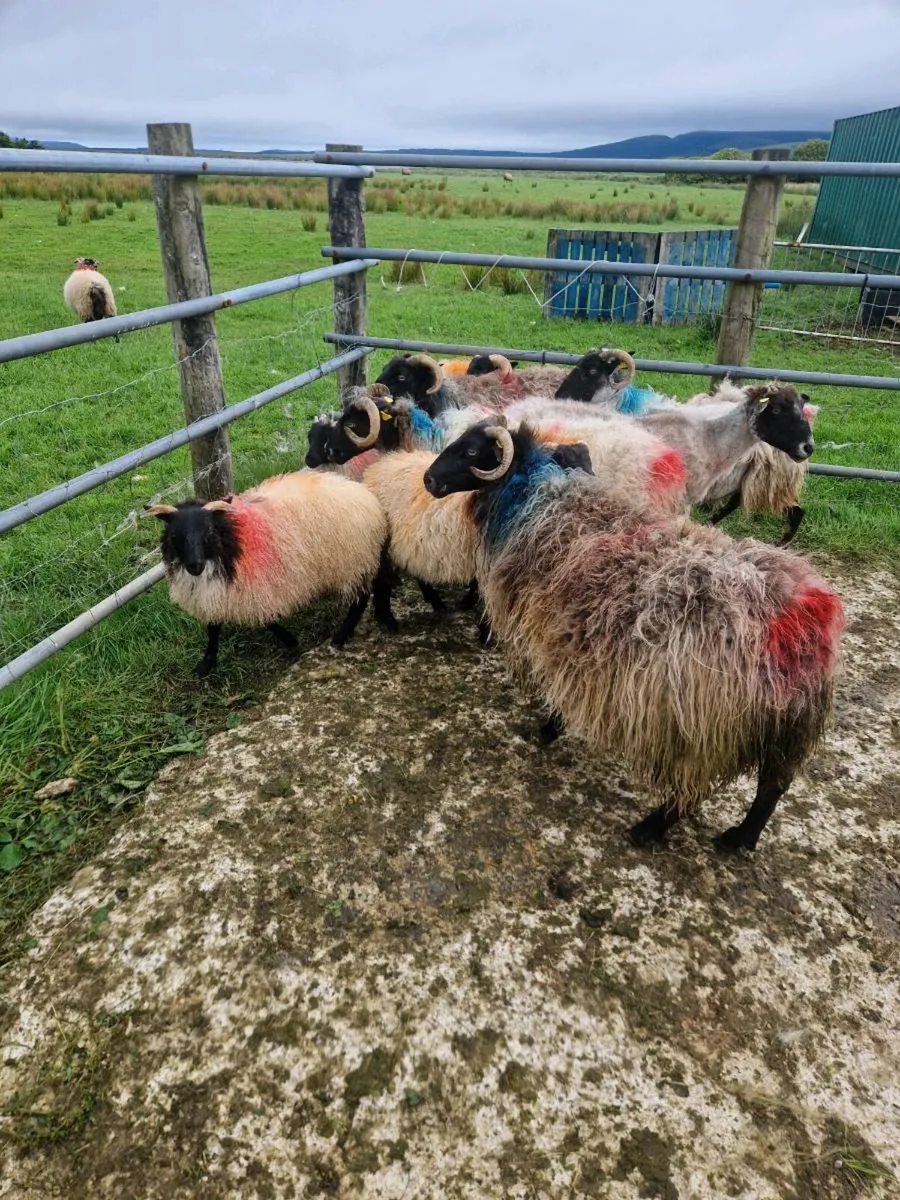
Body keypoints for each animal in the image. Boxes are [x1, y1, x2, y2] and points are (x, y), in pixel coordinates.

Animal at [145, 470, 392, 676]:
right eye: (175, 535)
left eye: (209, 531)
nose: (195, 566)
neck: (231, 538)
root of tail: (367, 496)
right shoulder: (216, 593)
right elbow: (213, 629)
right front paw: (206, 665)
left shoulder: (255, 589)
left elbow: (267, 621)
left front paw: (291, 641)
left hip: (352, 560)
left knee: (360, 599)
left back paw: (341, 636)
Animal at [423, 419, 844, 853]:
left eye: (472, 451)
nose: (429, 479)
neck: (537, 496)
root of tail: (802, 615)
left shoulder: (547, 634)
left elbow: (553, 687)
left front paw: (550, 727)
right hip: (787, 724)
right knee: (773, 786)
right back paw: (741, 837)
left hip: (702, 723)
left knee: (695, 789)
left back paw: (652, 827)